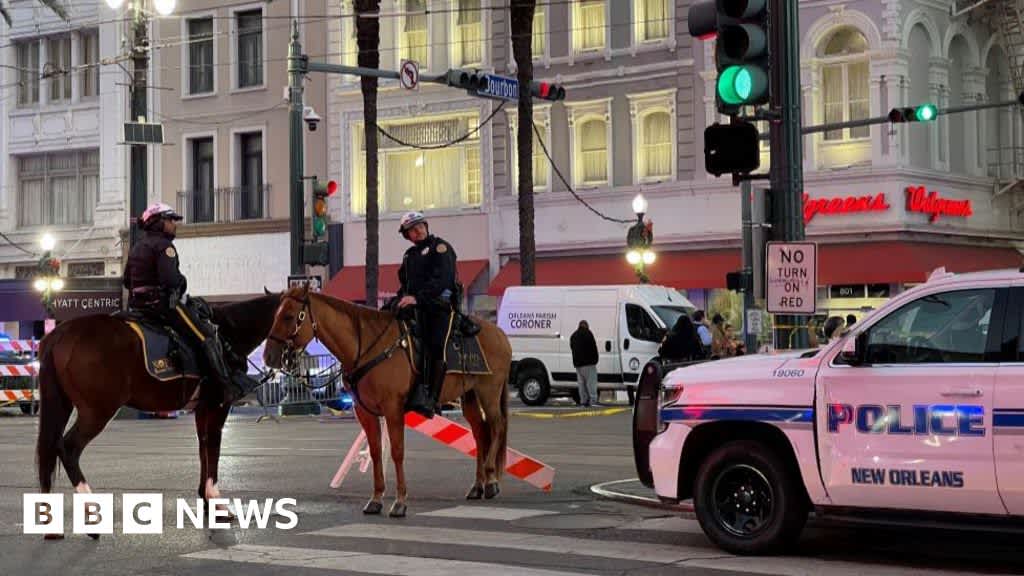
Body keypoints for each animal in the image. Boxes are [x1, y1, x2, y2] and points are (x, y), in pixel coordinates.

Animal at [34, 291, 282, 532]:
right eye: (287, 317)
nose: (273, 358)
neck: (228, 332)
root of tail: (62, 333)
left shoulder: (202, 407)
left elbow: (203, 447)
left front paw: (206, 500)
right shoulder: (217, 404)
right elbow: (213, 446)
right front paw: (216, 503)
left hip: (63, 404)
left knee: (51, 449)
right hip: (97, 411)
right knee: (68, 448)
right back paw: (91, 514)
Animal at [264, 286, 512, 516]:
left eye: (289, 316)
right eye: (275, 315)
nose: (269, 356)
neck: (366, 346)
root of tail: (499, 333)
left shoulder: (393, 410)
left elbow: (397, 451)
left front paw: (400, 501)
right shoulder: (365, 412)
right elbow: (375, 452)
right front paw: (376, 498)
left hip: (489, 391)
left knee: (497, 426)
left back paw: (491, 480)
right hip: (469, 394)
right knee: (480, 432)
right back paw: (478, 485)